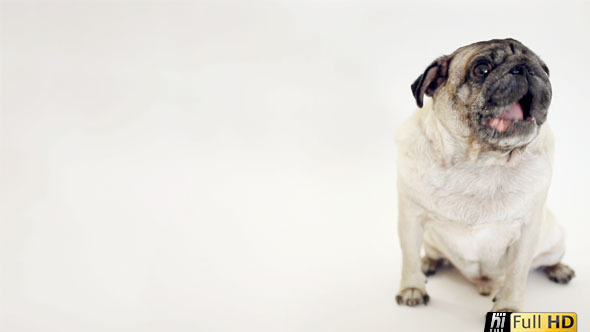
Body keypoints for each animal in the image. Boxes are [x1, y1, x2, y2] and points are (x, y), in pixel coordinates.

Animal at [396, 37, 576, 312]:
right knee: (429, 254)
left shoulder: (526, 233)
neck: (481, 161)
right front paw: (412, 288)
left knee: (548, 259)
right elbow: (409, 259)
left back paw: (559, 269)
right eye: (482, 69)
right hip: (430, 239)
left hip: (555, 238)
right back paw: (430, 262)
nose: (525, 67)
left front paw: (508, 308)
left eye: (545, 69)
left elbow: (516, 275)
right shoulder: (410, 219)